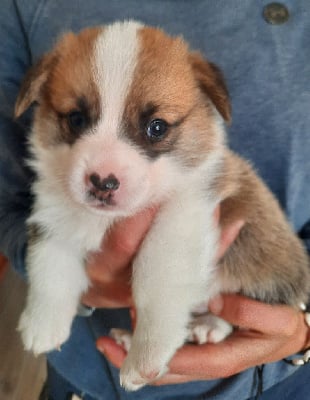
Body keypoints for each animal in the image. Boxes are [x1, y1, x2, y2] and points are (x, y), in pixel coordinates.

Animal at [15, 20, 310, 390]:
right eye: (77, 119)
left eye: (156, 127)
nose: (102, 182)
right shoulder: (53, 215)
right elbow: (48, 266)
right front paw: (42, 323)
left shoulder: (182, 217)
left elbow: (154, 282)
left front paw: (146, 355)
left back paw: (208, 325)